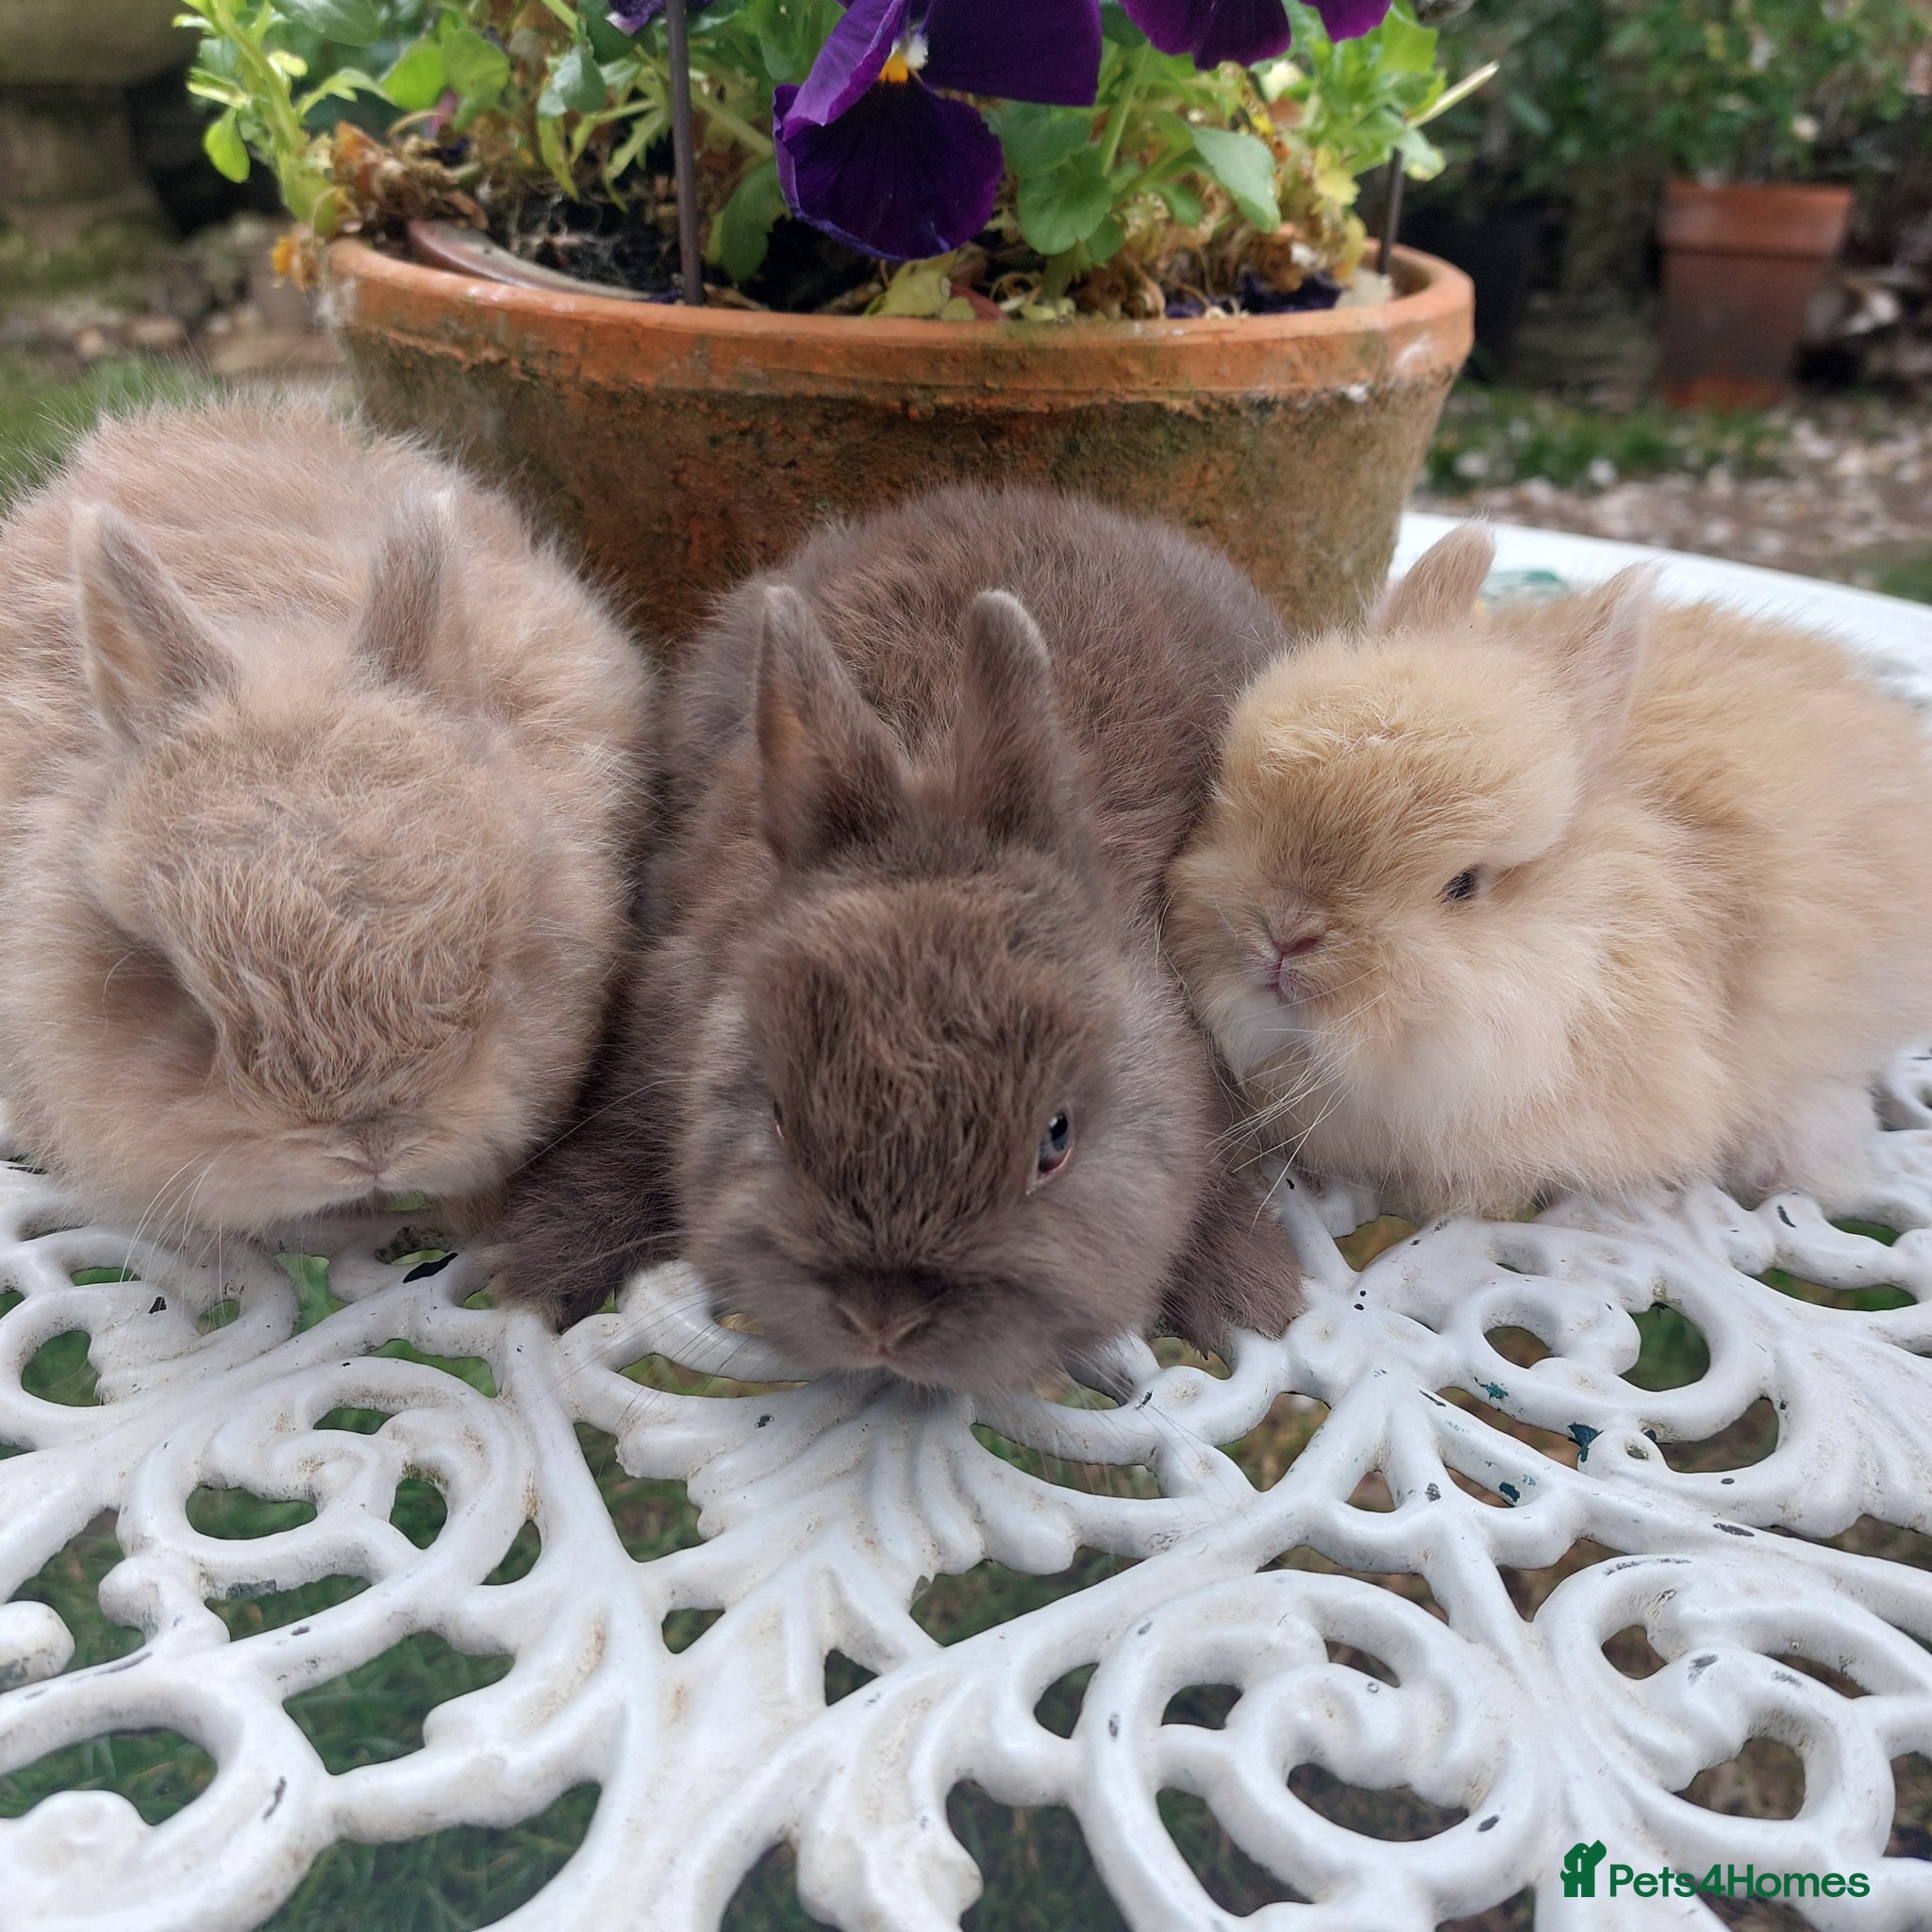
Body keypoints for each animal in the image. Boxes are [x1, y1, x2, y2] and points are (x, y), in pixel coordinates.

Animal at [494, 487, 1304, 1392]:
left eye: (1056, 1139)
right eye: (779, 1116)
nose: (884, 1319)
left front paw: (1251, 1292)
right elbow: (628, 1135)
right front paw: (543, 1250)